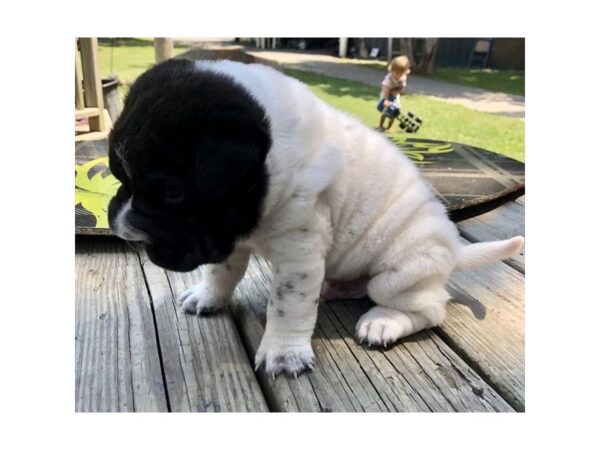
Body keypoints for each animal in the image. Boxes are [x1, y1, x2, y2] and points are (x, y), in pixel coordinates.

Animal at [109, 58, 524, 378]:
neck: (270, 159)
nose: (123, 225)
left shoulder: (298, 252)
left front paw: (283, 353)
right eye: (120, 178)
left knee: (429, 307)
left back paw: (383, 321)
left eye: (172, 195)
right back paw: (336, 289)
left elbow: (287, 304)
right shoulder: (230, 235)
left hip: (400, 272)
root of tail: (454, 248)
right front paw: (208, 296)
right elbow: (221, 272)